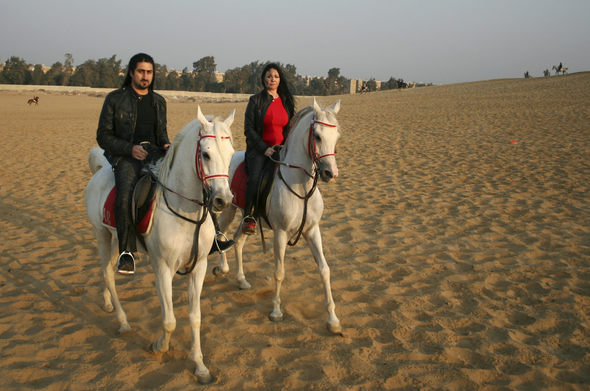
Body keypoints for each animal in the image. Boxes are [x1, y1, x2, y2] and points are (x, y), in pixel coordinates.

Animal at [85, 106, 236, 382]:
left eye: (231, 154)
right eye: (206, 154)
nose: (223, 200)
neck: (185, 212)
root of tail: (101, 170)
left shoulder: (199, 267)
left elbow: (195, 317)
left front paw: (200, 365)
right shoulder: (163, 269)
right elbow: (170, 321)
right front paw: (159, 346)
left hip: (116, 238)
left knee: (108, 270)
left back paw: (108, 302)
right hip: (101, 234)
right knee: (107, 273)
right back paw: (123, 321)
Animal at [217, 99, 344, 336]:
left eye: (337, 136)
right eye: (318, 136)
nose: (330, 173)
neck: (301, 186)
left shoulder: (312, 230)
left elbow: (324, 270)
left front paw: (332, 319)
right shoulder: (280, 233)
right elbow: (279, 271)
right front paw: (276, 311)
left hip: (247, 218)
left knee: (238, 241)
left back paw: (241, 280)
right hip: (228, 211)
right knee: (221, 236)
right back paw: (222, 269)